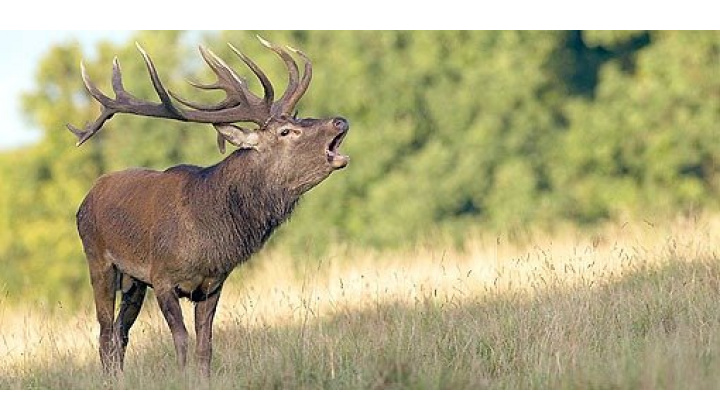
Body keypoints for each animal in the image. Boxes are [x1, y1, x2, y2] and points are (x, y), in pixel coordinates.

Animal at [67, 37, 348, 380]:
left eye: (296, 120)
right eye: (285, 132)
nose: (340, 120)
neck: (208, 233)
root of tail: (86, 198)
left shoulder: (213, 284)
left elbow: (205, 345)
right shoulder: (162, 277)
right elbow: (181, 340)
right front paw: (181, 379)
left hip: (134, 283)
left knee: (120, 332)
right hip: (98, 259)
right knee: (105, 332)